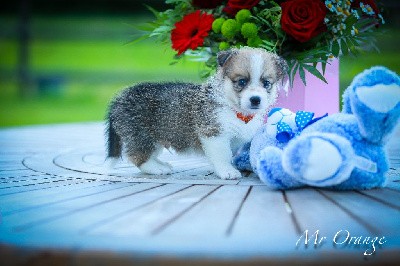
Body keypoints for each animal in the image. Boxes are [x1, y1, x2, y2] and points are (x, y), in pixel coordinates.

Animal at [106, 48, 288, 181]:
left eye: (266, 83)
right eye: (242, 81)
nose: (255, 99)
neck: (235, 110)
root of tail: (118, 99)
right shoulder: (214, 134)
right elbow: (223, 155)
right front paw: (227, 171)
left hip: (155, 138)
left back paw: (161, 164)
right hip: (141, 136)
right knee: (137, 156)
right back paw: (157, 168)